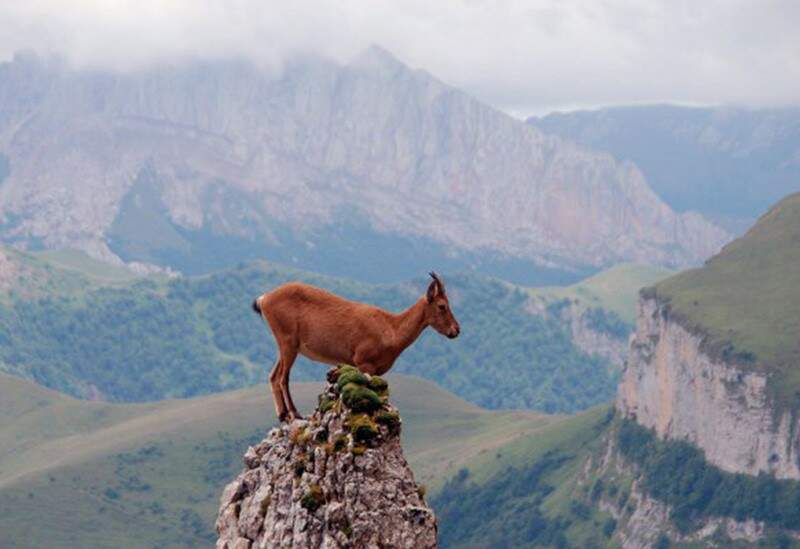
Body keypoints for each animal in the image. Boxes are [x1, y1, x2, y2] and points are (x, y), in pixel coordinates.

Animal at [250, 272, 462, 422]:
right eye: (442, 306)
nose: (456, 330)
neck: (391, 329)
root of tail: (264, 299)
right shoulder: (363, 362)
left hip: (286, 345)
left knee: (273, 375)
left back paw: (282, 415)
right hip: (288, 342)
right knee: (282, 377)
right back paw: (295, 413)